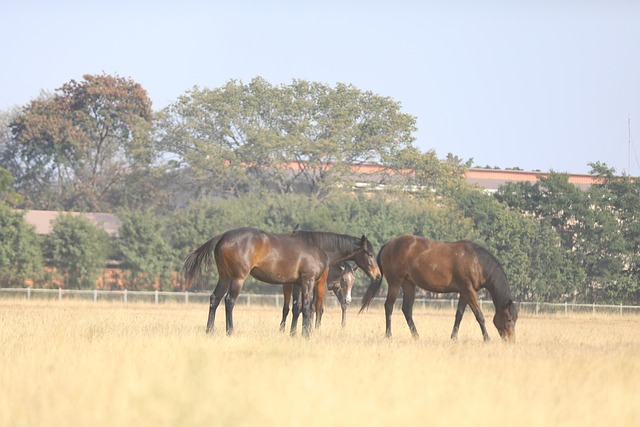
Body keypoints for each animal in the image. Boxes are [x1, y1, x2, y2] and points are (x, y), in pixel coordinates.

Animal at [181, 227, 380, 338]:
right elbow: (307, 307)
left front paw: (294, 333)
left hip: (224, 277)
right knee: (229, 301)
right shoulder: (308, 281)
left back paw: (210, 330)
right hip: (237, 278)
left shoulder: (297, 284)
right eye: (369, 254)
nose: (378, 275)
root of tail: (222, 236)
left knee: (214, 299)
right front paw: (306, 334)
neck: (318, 247)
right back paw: (230, 331)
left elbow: (297, 308)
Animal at [362, 236, 516, 342]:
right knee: (389, 306)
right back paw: (389, 335)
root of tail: (388, 244)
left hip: (409, 284)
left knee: (407, 309)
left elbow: (459, 315)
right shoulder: (468, 290)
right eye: (509, 319)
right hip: (395, 282)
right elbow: (479, 315)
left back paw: (416, 336)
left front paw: (453, 337)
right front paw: (487, 338)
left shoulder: (464, 292)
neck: (477, 262)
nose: (511, 341)